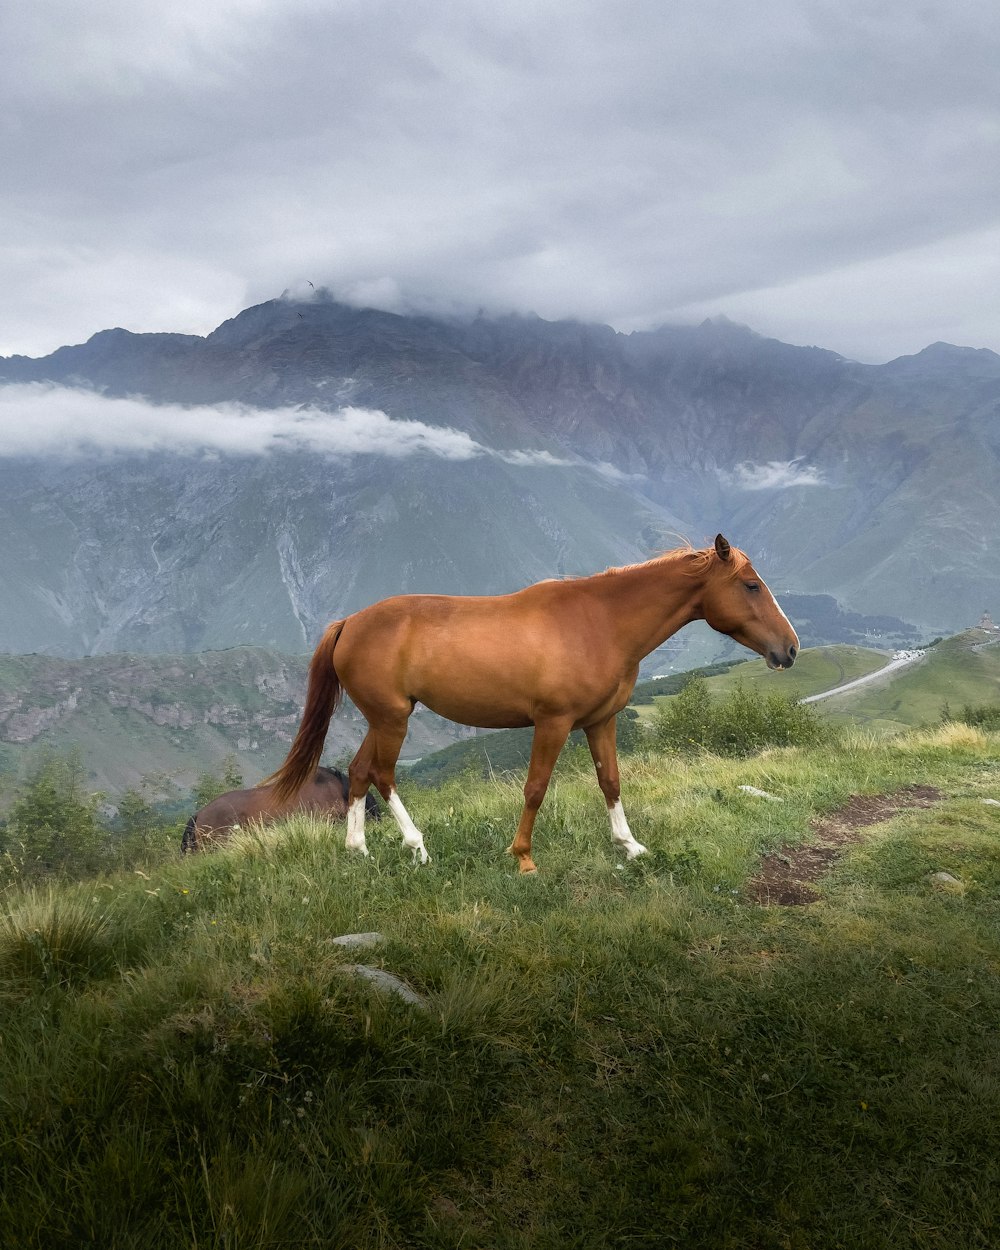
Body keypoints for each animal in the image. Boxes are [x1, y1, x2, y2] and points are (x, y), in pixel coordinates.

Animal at [263, 535, 795, 870]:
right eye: (751, 585)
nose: (789, 649)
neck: (601, 621)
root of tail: (349, 623)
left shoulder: (601, 722)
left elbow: (611, 781)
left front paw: (629, 845)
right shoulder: (553, 723)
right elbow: (536, 788)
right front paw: (522, 857)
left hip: (382, 719)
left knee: (357, 772)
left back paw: (358, 849)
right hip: (392, 720)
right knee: (383, 774)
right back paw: (417, 848)